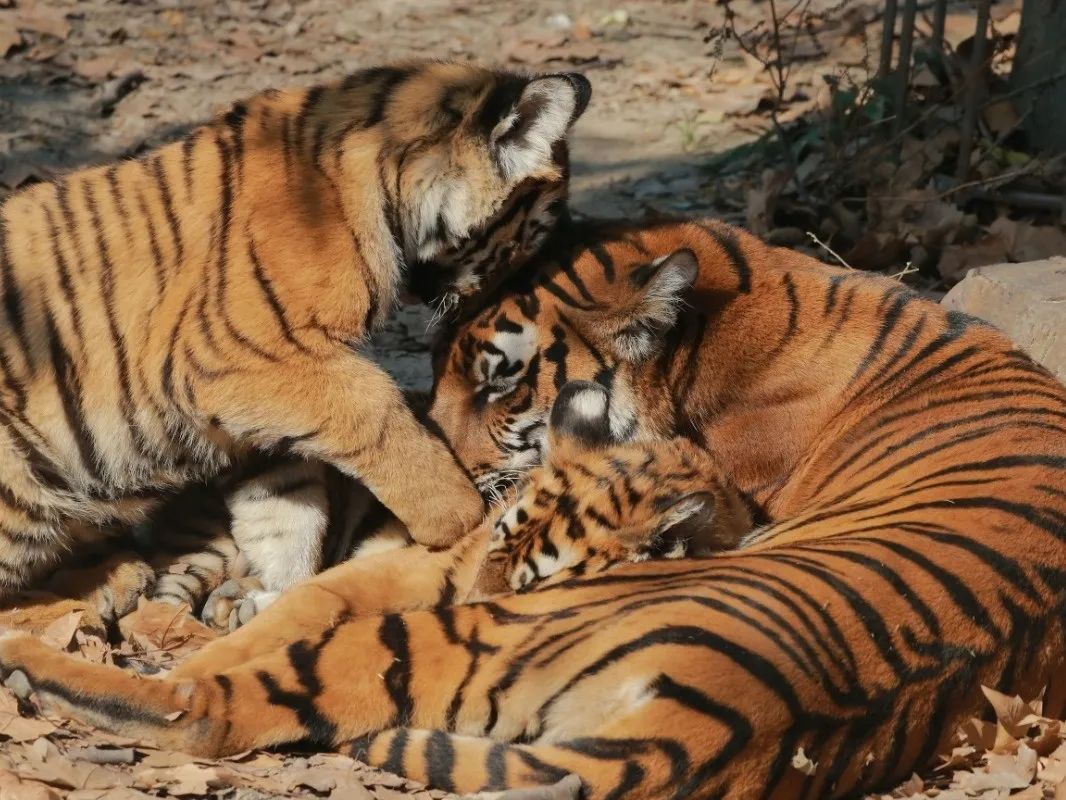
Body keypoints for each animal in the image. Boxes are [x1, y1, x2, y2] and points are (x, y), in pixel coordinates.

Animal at [0, 59, 592, 601]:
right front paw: (459, 517)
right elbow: (377, 410)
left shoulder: (260, 405)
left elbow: (287, 506)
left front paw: (282, 590)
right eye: (538, 225)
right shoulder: (243, 356)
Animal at [2, 219, 1066, 800]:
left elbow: (314, 598)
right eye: (436, 365)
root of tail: (724, 722)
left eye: (501, 381)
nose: (438, 469)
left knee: (204, 704)